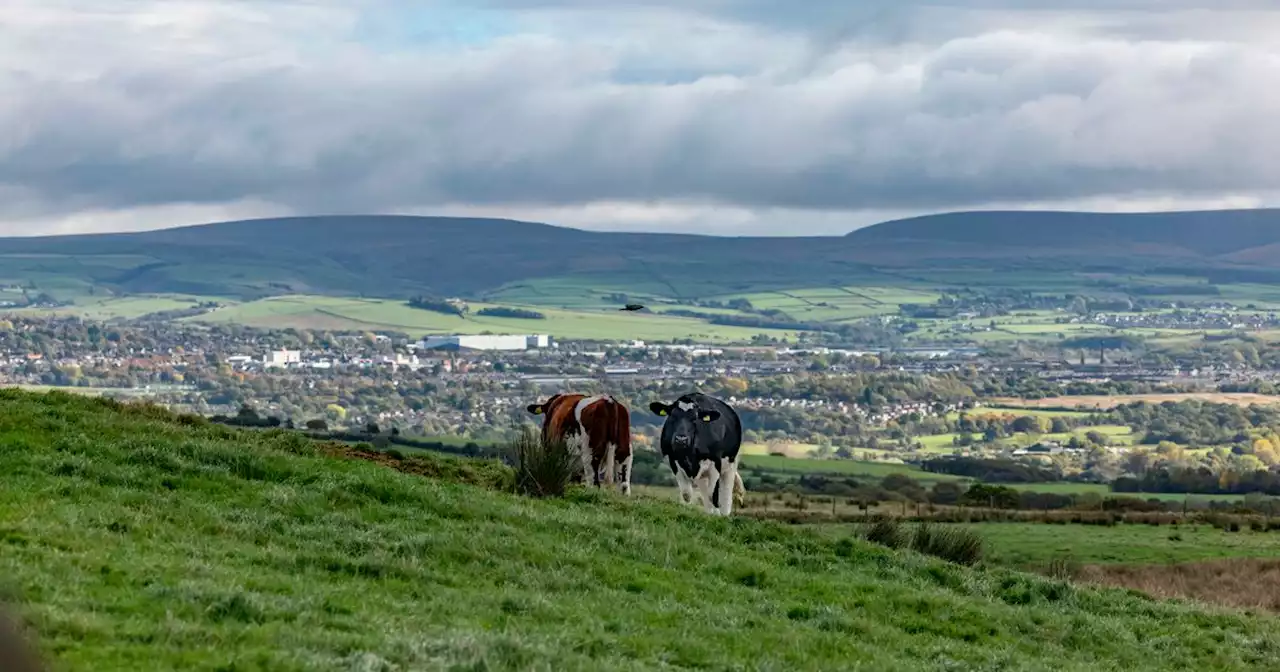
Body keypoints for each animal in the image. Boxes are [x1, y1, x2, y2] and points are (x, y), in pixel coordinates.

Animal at [655, 389, 747, 517]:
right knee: (704, 490)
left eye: (695, 418)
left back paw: (724, 514)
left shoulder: (716, 463)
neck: (689, 455)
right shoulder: (673, 460)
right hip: (703, 474)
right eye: (672, 416)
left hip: (731, 463)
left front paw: (717, 516)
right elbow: (687, 494)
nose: (681, 439)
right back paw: (709, 512)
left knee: (726, 490)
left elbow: (713, 495)